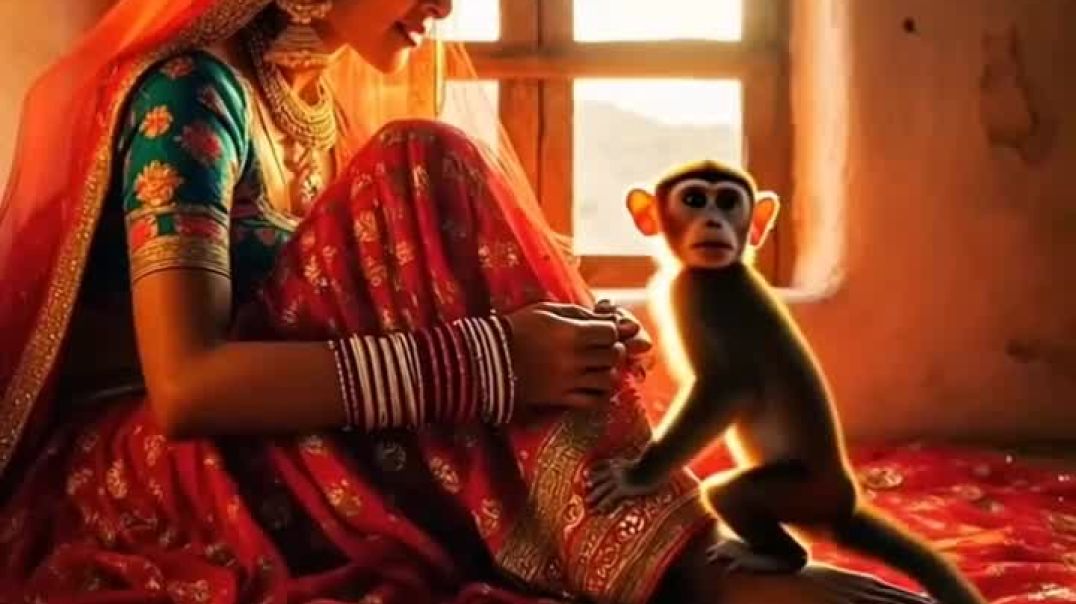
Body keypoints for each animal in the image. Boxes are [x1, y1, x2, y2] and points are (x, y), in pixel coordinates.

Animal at [584, 161, 986, 604]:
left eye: (727, 201)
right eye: (694, 199)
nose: (714, 221)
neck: (722, 270)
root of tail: (841, 506)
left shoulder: (701, 296)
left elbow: (727, 389)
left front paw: (636, 476)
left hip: (800, 494)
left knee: (727, 492)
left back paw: (783, 557)